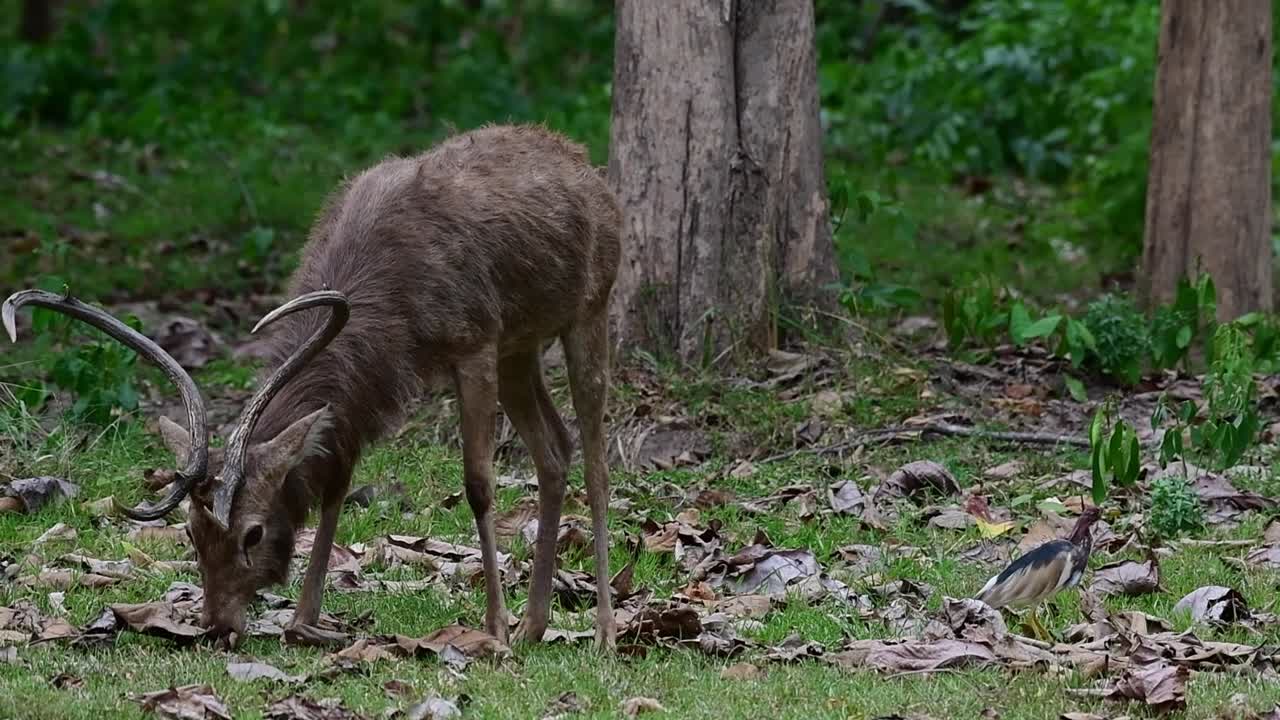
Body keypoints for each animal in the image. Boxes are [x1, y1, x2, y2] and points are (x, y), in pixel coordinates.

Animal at [2, 123, 621, 651]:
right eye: (193, 536)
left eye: (252, 534)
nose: (217, 625)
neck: (393, 311)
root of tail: (588, 168)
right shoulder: (366, 391)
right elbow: (335, 481)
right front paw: (305, 617)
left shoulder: (473, 338)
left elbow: (478, 483)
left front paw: (493, 629)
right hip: (522, 345)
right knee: (554, 448)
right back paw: (536, 625)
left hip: (590, 307)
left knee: (595, 456)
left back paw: (603, 633)